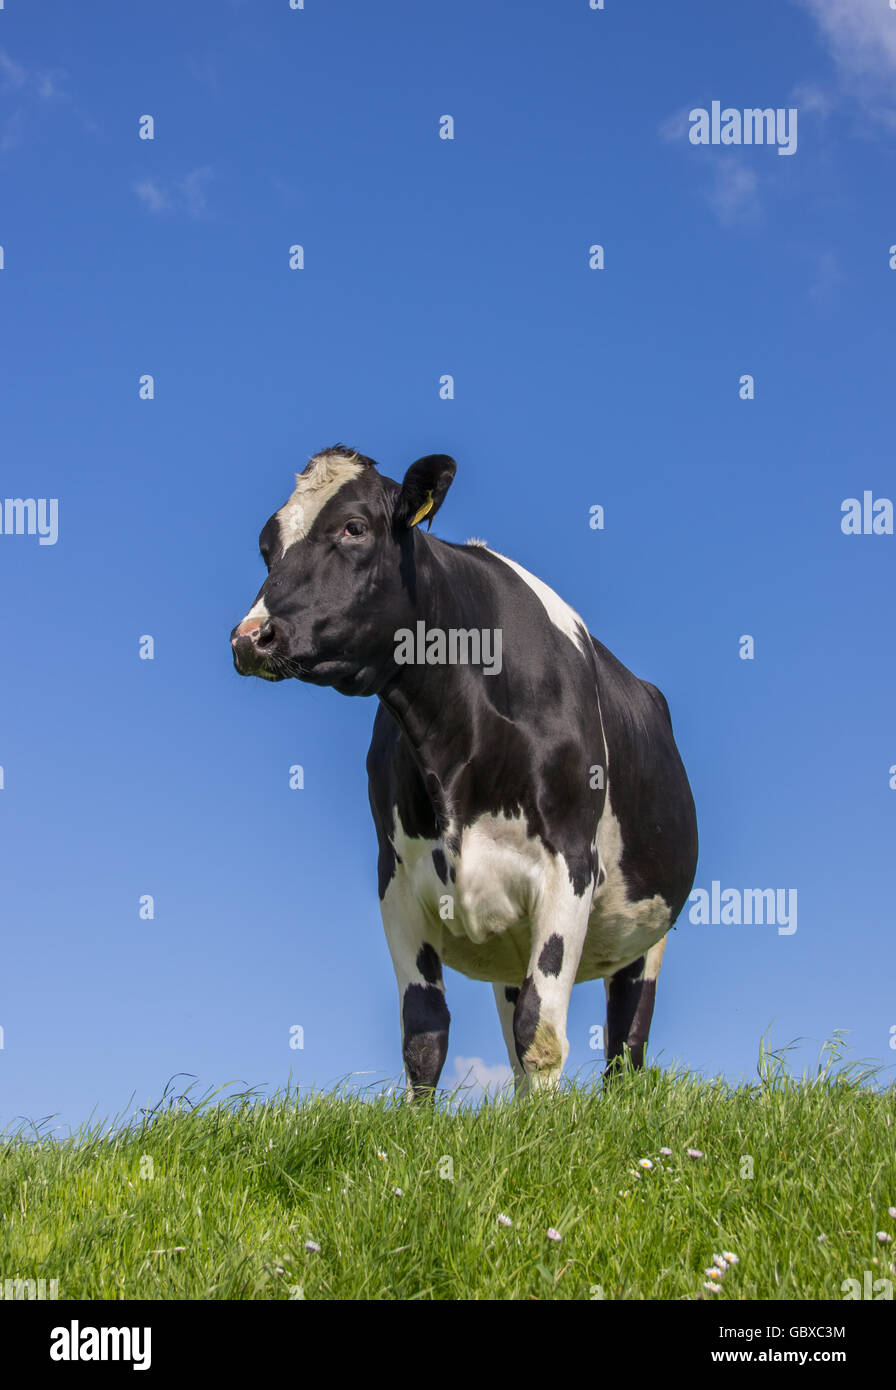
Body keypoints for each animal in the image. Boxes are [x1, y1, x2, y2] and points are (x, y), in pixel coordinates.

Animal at [231, 445, 698, 1097]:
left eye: (354, 528)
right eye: (266, 546)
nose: (250, 637)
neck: (454, 736)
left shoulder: (570, 864)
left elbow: (542, 1034)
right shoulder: (396, 881)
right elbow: (425, 1035)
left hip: (645, 933)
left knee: (625, 1045)